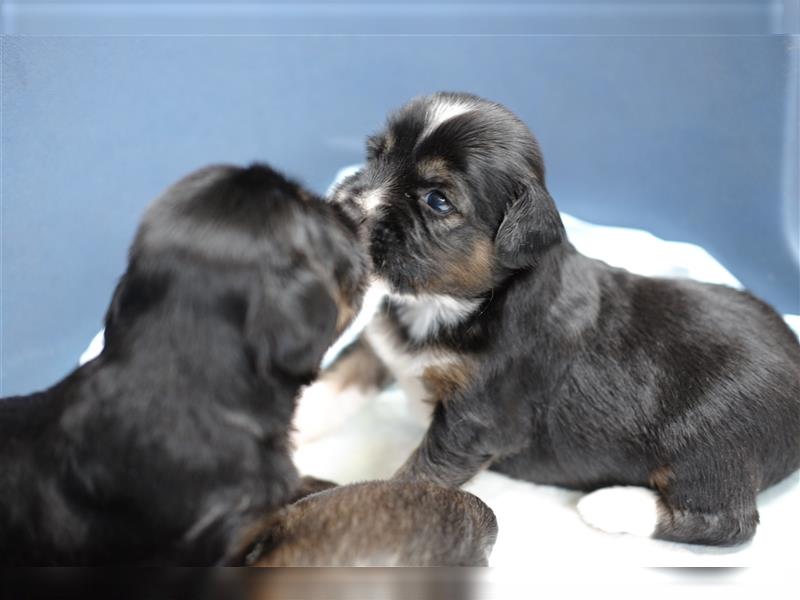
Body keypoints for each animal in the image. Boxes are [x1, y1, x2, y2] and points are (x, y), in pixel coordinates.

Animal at [322, 91, 800, 548]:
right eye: (375, 155)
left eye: (437, 200)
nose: (345, 209)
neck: (445, 304)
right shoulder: (379, 347)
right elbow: (330, 388)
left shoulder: (475, 421)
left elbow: (414, 479)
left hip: (707, 447)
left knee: (729, 521)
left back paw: (613, 504)